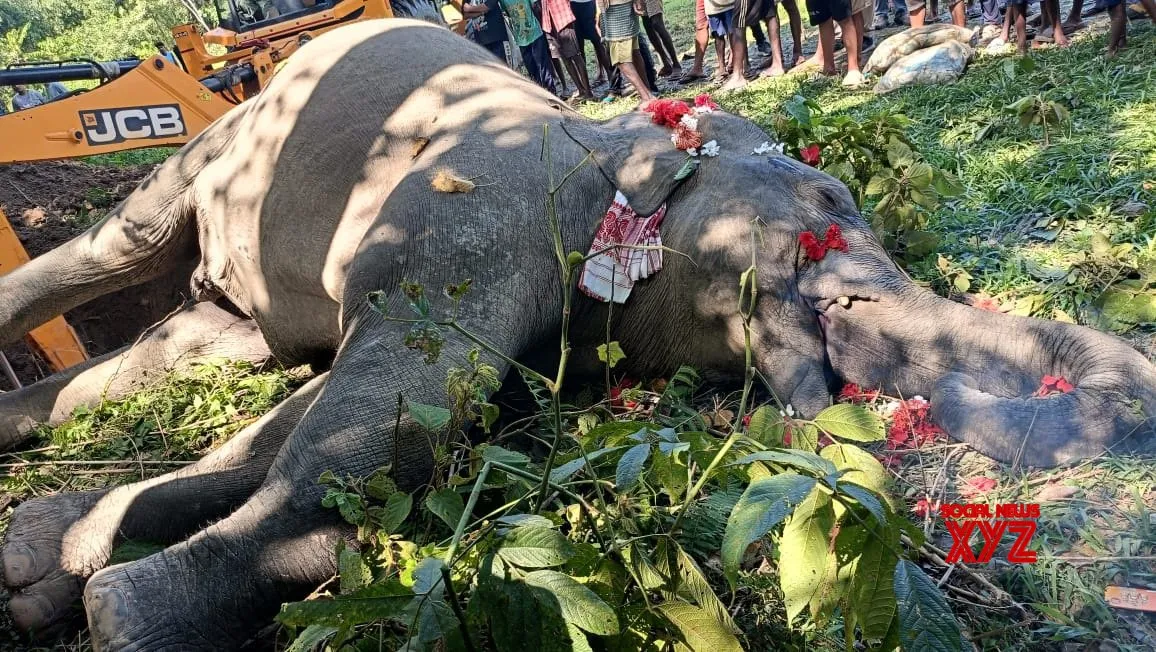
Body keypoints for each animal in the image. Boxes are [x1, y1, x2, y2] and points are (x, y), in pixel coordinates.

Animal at [0, 17, 1153, 650]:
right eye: (828, 198)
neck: (610, 140)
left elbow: (340, 418)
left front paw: (58, 560)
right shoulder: (479, 217)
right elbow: (397, 408)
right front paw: (122, 613)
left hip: (229, 293)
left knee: (204, 340)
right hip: (222, 142)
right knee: (120, 247)